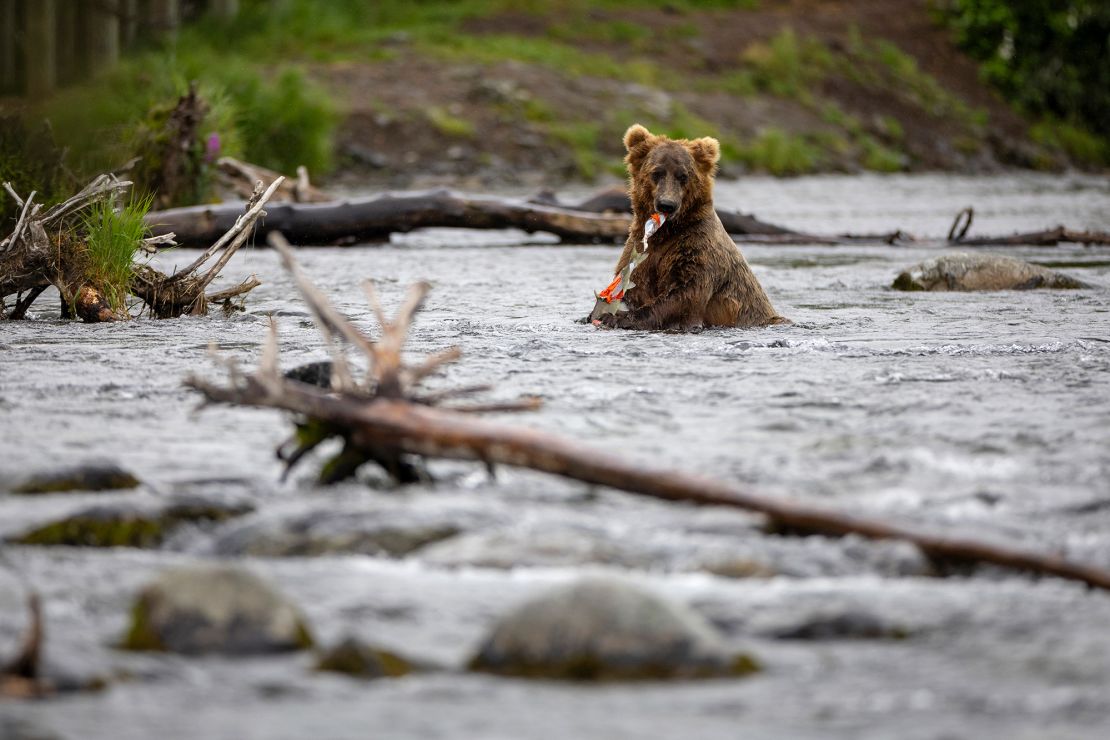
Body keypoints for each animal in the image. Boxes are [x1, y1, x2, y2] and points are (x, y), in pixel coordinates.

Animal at [594, 124, 785, 330]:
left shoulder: (697, 248)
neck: (666, 232)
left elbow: (685, 294)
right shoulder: (639, 251)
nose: (667, 205)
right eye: (656, 173)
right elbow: (636, 285)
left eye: (683, 176)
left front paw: (616, 317)